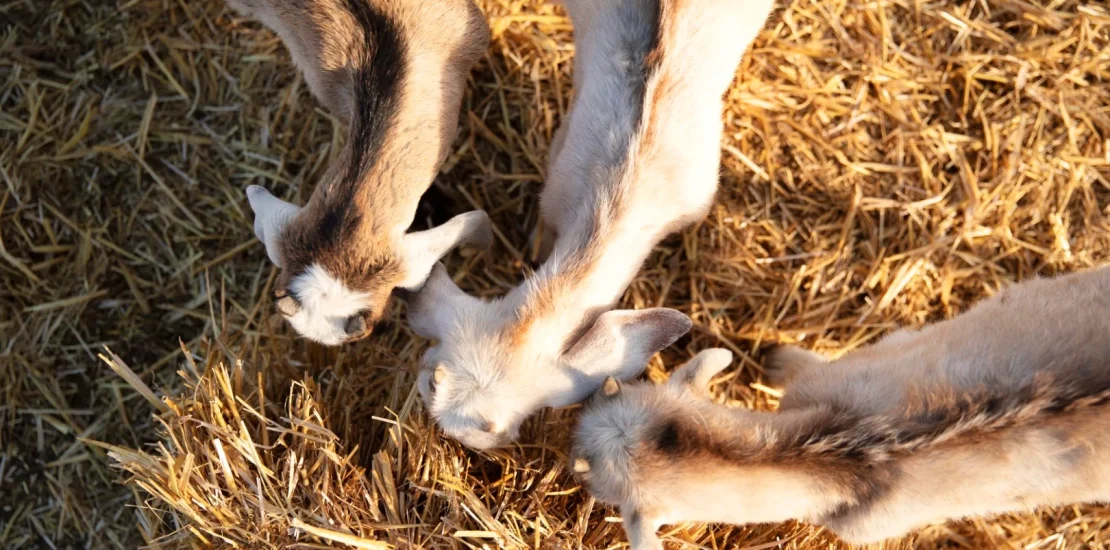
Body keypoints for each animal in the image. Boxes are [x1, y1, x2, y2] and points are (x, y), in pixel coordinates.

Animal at [572, 267, 1110, 548]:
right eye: (611, 388)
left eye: (586, 473)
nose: (569, 434)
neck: (847, 450)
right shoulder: (871, 355)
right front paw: (770, 358)